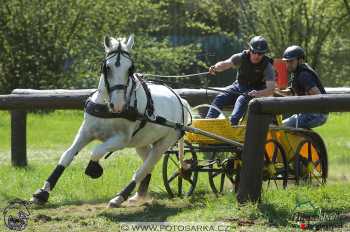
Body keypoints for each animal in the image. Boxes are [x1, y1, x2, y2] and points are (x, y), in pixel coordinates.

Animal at [32, 35, 191, 208]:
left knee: (144, 168)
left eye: (130, 69)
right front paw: (42, 193)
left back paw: (120, 197)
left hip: (163, 143)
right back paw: (139, 195)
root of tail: (181, 100)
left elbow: (96, 151)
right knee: (147, 165)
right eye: (107, 68)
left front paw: (93, 169)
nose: (119, 105)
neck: (107, 108)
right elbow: (67, 155)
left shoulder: (120, 140)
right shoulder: (85, 132)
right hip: (142, 142)